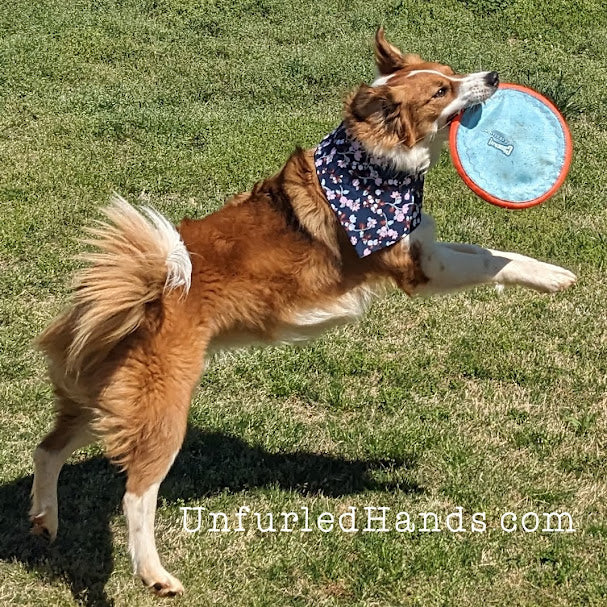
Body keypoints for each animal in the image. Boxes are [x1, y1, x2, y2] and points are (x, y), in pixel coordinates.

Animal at [29, 29, 580, 600]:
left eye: (448, 72)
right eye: (440, 91)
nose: (493, 78)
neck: (372, 165)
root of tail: (141, 286)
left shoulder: (428, 251)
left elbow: (485, 251)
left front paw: (550, 271)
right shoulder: (420, 270)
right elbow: (494, 261)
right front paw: (553, 278)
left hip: (104, 400)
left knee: (46, 450)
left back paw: (45, 520)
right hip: (162, 408)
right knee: (136, 493)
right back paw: (154, 574)